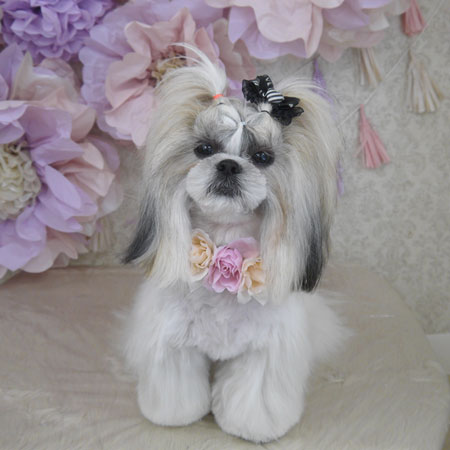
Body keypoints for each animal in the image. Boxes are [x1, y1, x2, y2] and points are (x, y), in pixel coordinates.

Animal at [122, 47, 346, 443]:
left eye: (262, 158)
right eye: (204, 149)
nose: (227, 165)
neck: (224, 250)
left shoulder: (265, 352)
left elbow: (254, 396)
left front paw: (252, 427)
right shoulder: (173, 343)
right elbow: (176, 387)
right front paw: (174, 415)